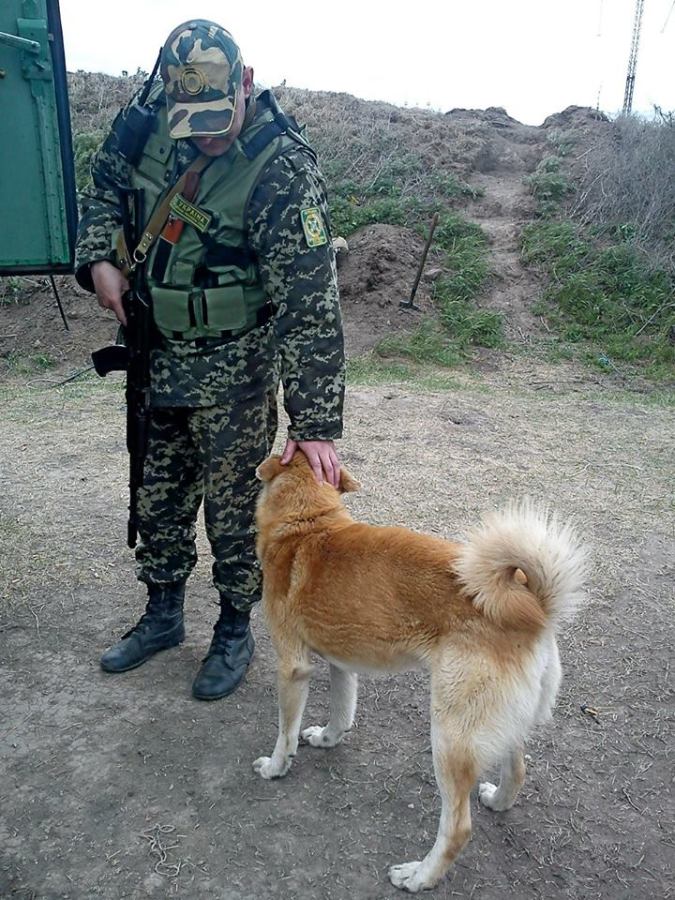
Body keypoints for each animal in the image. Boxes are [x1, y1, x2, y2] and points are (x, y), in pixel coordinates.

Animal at [252, 453, 586, 892]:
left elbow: (284, 733)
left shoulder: (293, 667)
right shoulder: (341, 661)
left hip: (449, 735)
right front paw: (327, 738)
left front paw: (276, 767)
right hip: (500, 723)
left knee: (457, 828)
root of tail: (534, 612)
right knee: (517, 769)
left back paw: (418, 876)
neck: (307, 524)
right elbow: (341, 711)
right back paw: (497, 801)